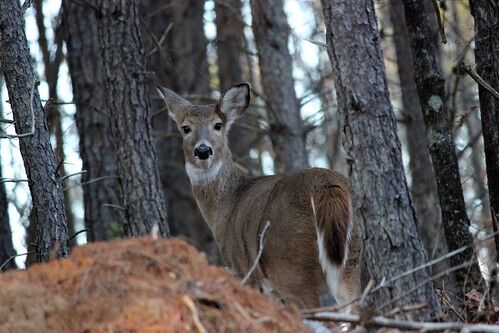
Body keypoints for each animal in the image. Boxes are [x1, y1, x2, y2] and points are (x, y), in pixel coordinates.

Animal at [158, 82, 362, 308]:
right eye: (186, 128)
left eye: (218, 125)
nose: (203, 150)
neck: (228, 204)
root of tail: (326, 186)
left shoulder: (243, 270)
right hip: (350, 263)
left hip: (291, 269)